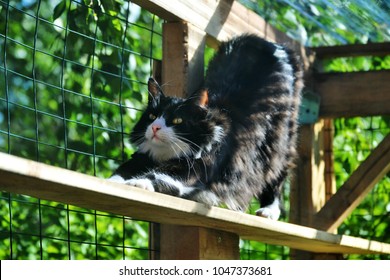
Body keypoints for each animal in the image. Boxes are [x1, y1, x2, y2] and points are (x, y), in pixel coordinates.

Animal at [108, 34, 304, 220]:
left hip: (278, 144)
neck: (166, 155)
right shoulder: (142, 158)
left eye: (177, 121)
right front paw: (114, 182)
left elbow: (158, 175)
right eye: (152, 116)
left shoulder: (192, 169)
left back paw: (269, 211)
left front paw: (138, 183)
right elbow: (122, 171)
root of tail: (274, 44)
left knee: (276, 178)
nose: (155, 128)